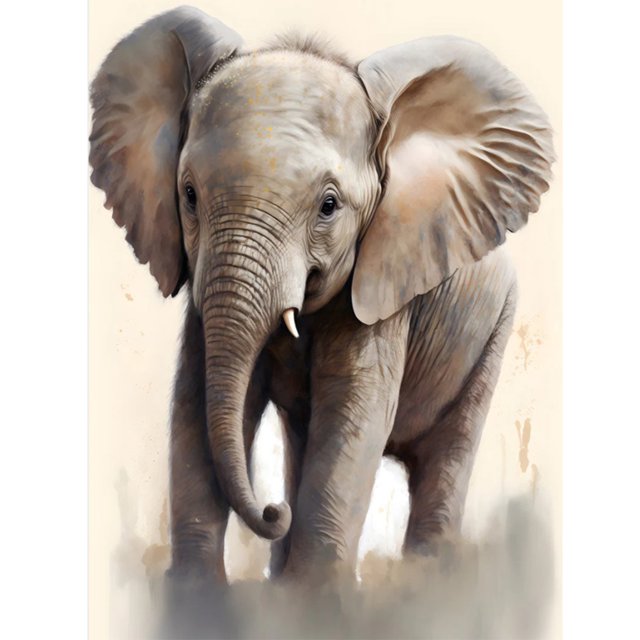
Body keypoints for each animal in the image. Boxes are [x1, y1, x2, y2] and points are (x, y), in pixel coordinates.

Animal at [89, 6, 554, 589]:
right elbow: (195, 398)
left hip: (494, 328)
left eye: (329, 206)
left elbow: (353, 411)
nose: (272, 511)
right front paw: (200, 597)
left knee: (448, 451)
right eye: (189, 195)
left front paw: (313, 599)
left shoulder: (384, 280)